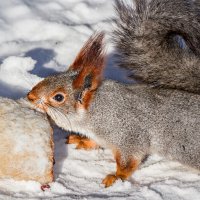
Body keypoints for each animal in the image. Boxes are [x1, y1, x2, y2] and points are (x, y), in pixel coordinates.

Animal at [27, 0, 200, 188]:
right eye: (51, 76)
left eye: (58, 97)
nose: (30, 96)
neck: (98, 109)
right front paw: (82, 140)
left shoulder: (128, 136)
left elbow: (128, 161)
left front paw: (116, 177)